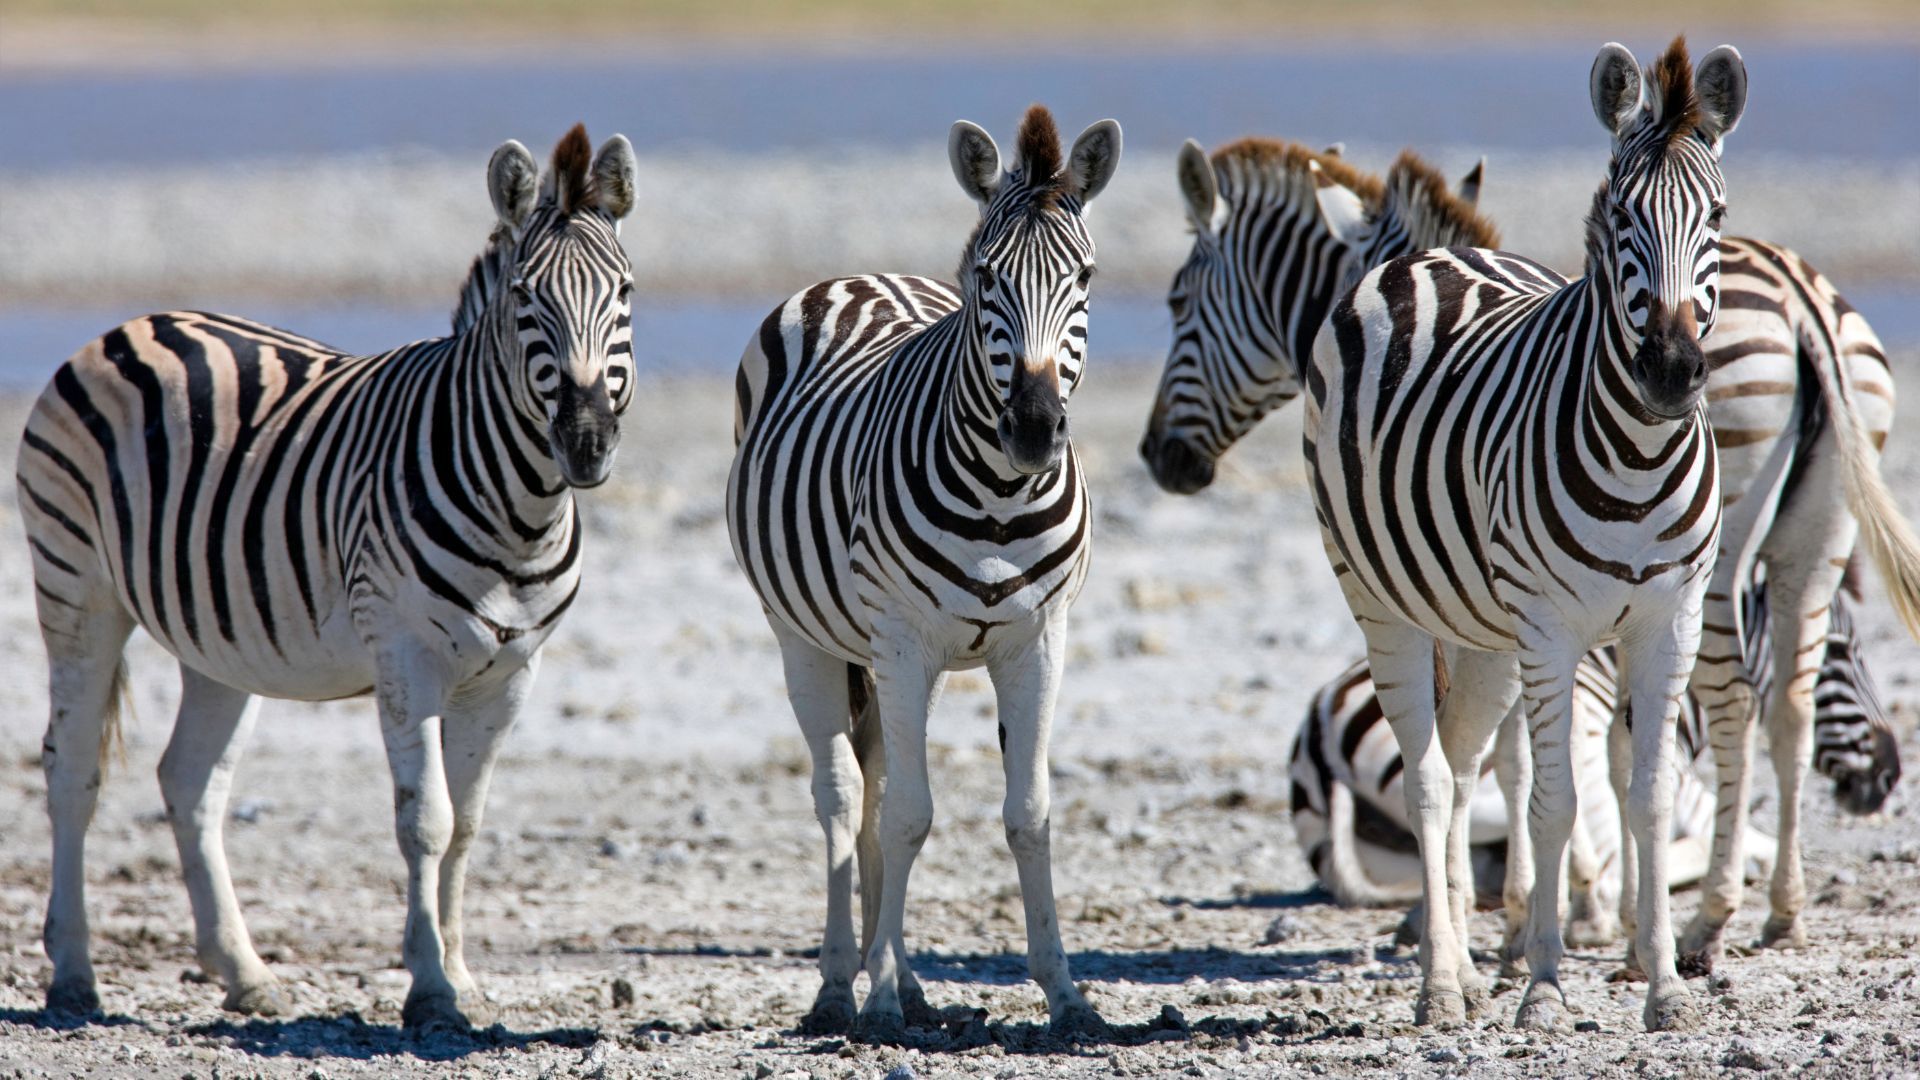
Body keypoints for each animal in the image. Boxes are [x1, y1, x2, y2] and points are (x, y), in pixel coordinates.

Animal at [16, 124, 638, 1029]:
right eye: (527, 299)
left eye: (625, 294)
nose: (587, 444)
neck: (519, 512)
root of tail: (130, 323)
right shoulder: (406, 658)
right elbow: (425, 821)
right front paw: (430, 988)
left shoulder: (511, 674)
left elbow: (469, 824)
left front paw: (462, 976)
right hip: (76, 588)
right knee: (71, 768)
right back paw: (73, 976)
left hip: (219, 636)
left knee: (190, 781)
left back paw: (244, 973)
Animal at [726, 106, 1120, 1042]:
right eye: (986, 278)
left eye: (1084, 277)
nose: (1034, 429)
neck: (1001, 499)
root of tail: (861, 277)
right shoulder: (903, 643)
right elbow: (909, 815)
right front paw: (872, 1000)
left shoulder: (1038, 641)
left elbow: (1028, 814)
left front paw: (1065, 994)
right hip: (807, 636)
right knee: (842, 796)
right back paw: (844, 983)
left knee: (870, 791)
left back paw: (902, 980)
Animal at [1140, 87, 1916, 980]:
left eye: (1176, 303)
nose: (1158, 457)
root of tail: (1800, 296)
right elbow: (1583, 757)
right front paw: (1586, 916)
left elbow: (1504, 758)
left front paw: (1510, 921)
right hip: (1815, 531)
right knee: (1786, 703)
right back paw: (1777, 913)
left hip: (1723, 553)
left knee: (1734, 705)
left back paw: (1706, 920)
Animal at [1303, 39, 1748, 1032]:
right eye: (1620, 214)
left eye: (1716, 215)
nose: (1671, 373)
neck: (1637, 457)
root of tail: (1429, 255)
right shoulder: (1552, 629)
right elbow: (1552, 804)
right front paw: (1542, 985)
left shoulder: (1670, 621)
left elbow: (1646, 800)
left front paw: (1664, 987)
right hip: (1380, 601)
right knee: (1432, 777)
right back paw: (1440, 984)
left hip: (1483, 631)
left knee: (1467, 765)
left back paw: (1467, 969)